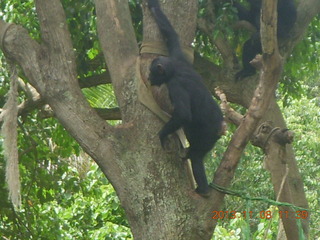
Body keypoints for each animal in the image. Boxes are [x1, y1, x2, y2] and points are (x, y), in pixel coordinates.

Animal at [147, 0, 224, 195]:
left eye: (151, 71)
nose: (149, 77)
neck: (174, 69)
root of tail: (222, 127)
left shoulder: (175, 86)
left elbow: (183, 115)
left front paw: (162, 135)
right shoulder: (177, 55)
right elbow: (171, 34)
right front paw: (153, 6)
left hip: (208, 136)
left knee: (196, 156)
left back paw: (202, 190)